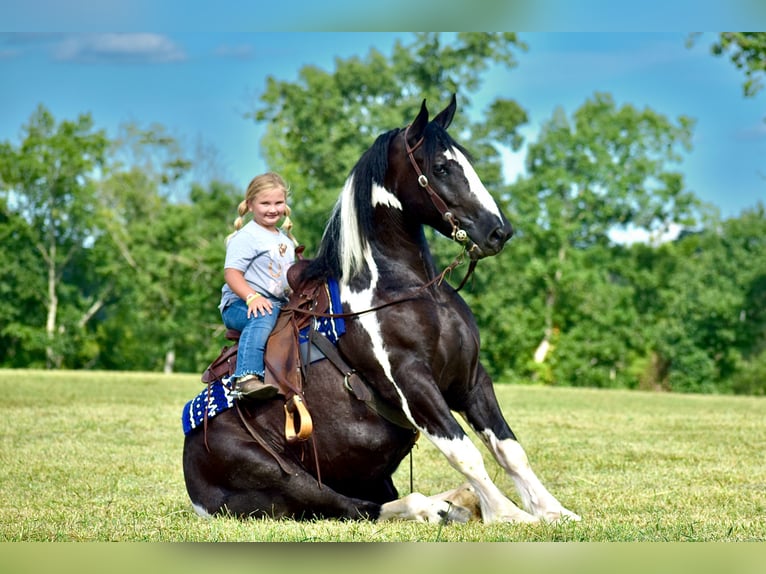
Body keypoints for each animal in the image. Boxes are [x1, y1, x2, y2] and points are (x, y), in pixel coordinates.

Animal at [184, 95, 584, 528]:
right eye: (440, 167)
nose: (498, 231)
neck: (405, 289)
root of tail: (195, 486)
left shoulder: (471, 379)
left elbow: (509, 450)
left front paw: (553, 510)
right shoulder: (413, 383)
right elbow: (465, 453)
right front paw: (509, 515)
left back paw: (457, 503)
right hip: (286, 478)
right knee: (356, 507)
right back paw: (437, 508)